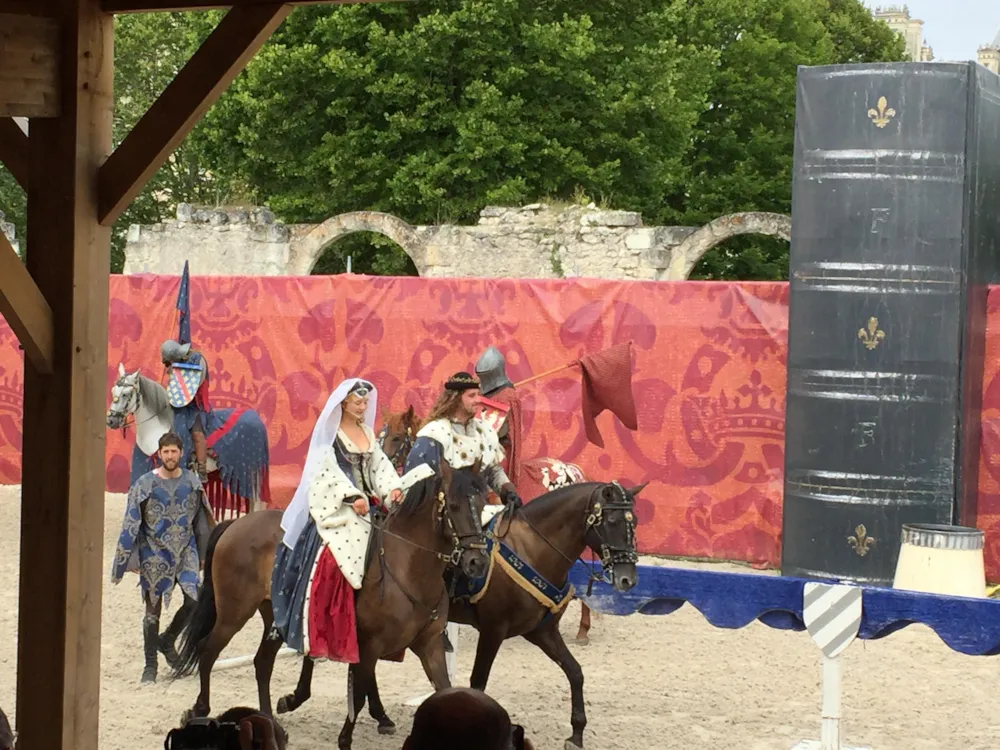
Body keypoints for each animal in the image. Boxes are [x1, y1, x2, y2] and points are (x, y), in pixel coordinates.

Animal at [172, 462, 492, 748]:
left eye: (482, 503)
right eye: (453, 506)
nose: (477, 562)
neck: (406, 566)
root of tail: (236, 524)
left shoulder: (430, 645)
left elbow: (445, 689)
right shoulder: (369, 646)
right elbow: (358, 694)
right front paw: (345, 739)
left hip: (274, 616)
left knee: (262, 662)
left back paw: (271, 723)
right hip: (234, 613)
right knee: (207, 651)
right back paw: (200, 710)